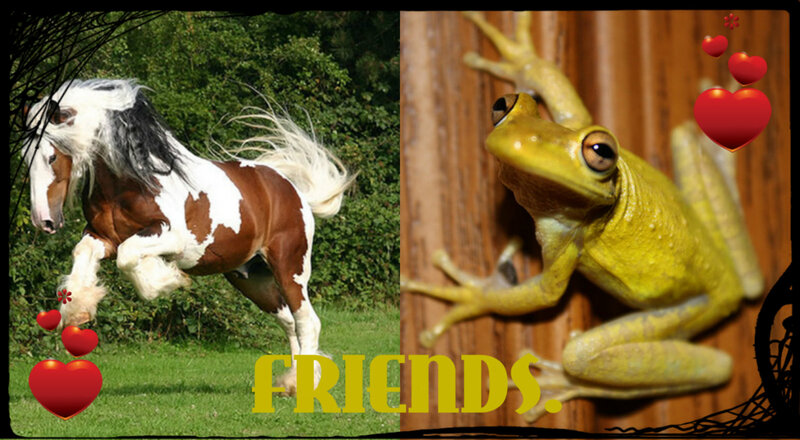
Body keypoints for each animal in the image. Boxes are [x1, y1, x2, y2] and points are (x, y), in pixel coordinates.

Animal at [20, 78, 355, 393]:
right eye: (25, 158)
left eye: (51, 157)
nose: (44, 221)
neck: (133, 181)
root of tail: (293, 190)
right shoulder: (103, 237)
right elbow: (84, 252)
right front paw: (78, 311)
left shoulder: (172, 237)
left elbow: (129, 255)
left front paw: (164, 281)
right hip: (251, 277)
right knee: (289, 322)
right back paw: (291, 383)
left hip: (290, 268)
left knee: (307, 322)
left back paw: (303, 385)